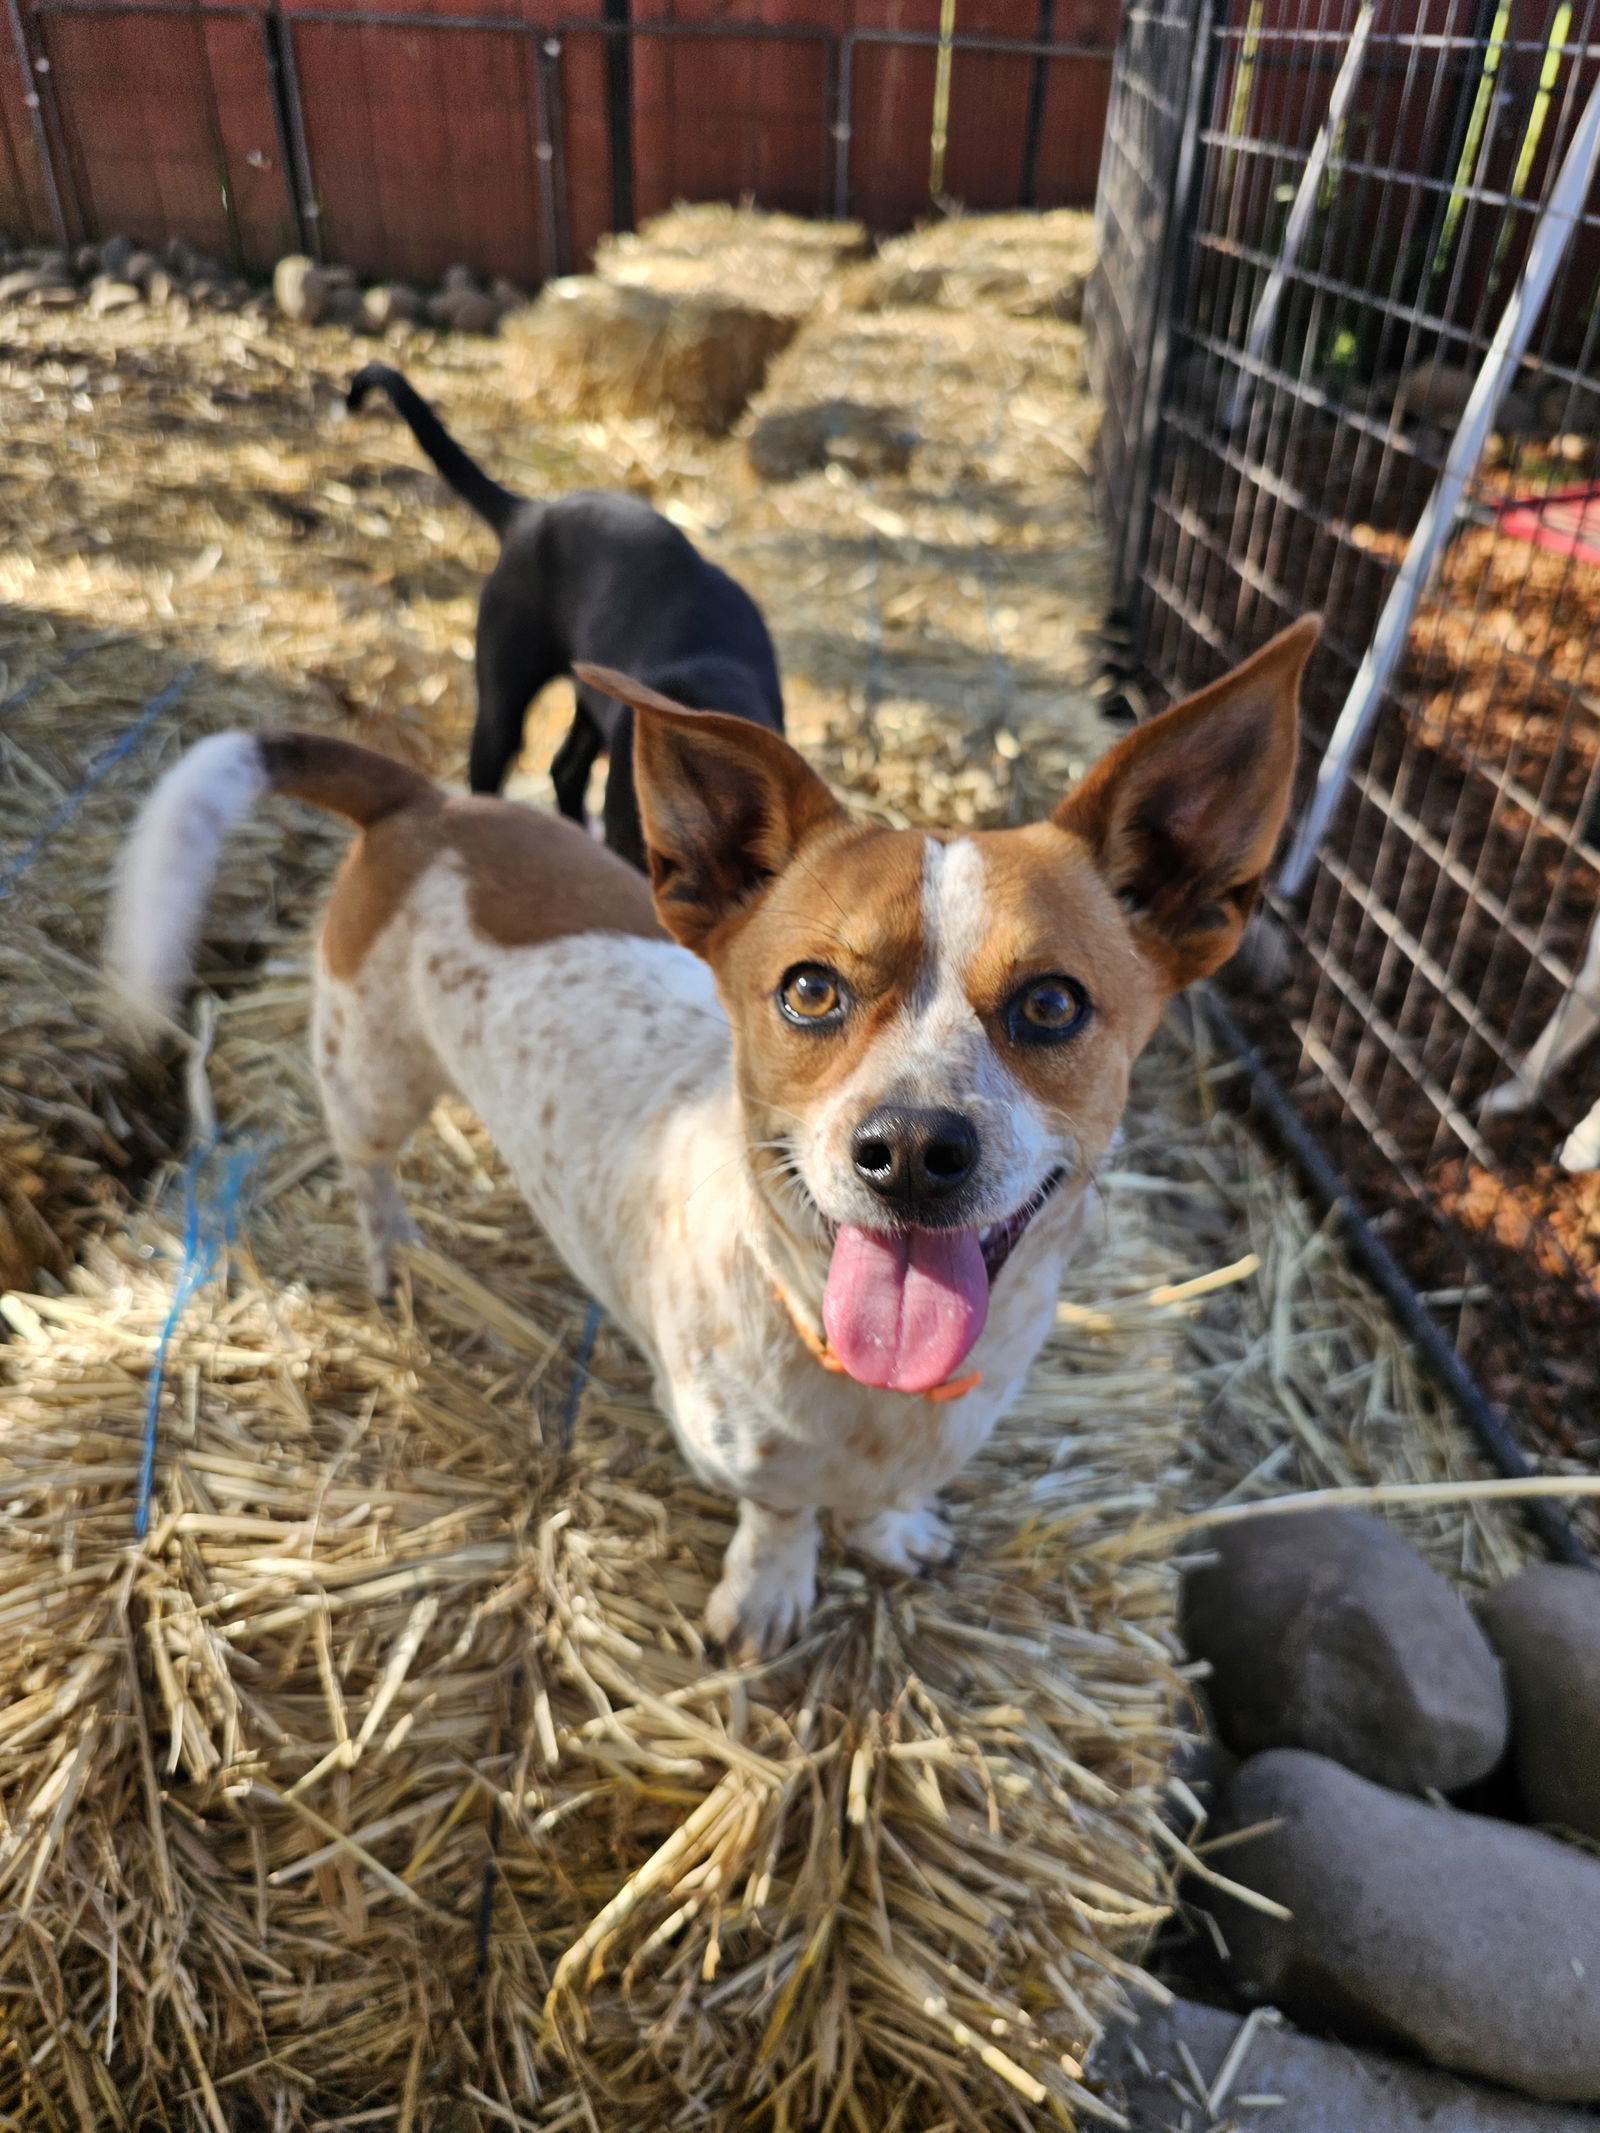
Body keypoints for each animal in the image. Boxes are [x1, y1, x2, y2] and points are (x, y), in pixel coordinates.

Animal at [106, 622, 1322, 1655]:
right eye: (809, 990)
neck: (867, 1377)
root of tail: (429, 803)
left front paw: (890, 1532)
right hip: (370, 1074)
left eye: (1053, 1005)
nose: (910, 1150)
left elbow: (885, 1504)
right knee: (368, 1170)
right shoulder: (740, 1446)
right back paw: (394, 1252)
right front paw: (772, 1588)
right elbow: (781, 1512)